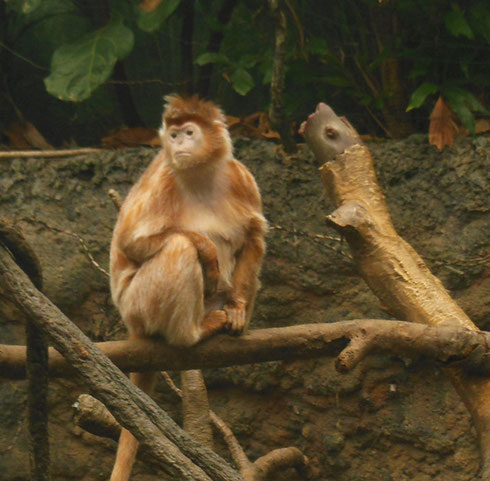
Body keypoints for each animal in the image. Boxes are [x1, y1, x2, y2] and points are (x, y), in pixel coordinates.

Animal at [108, 94, 266, 480]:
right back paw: (191, 334)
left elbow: (252, 238)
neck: (199, 174)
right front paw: (207, 250)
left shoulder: (240, 176)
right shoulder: (163, 177)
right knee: (179, 246)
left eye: (189, 132)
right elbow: (130, 242)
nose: (178, 143)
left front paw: (238, 308)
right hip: (138, 305)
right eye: (174, 134)